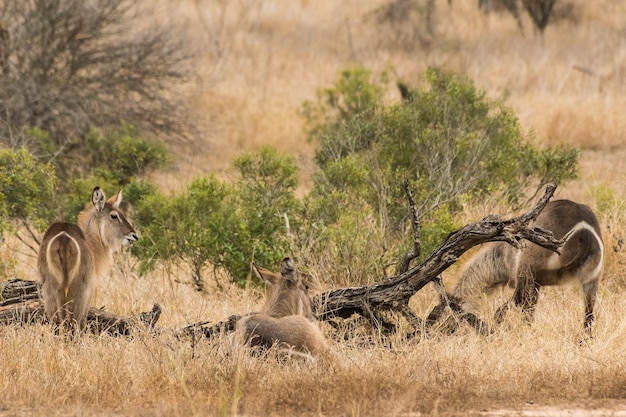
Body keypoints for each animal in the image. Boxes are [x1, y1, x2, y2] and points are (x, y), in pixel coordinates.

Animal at [38, 187, 138, 334]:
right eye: (114, 215)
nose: (134, 235)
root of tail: (63, 237)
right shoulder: (89, 290)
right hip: (78, 289)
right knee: (73, 323)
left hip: (51, 288)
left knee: (57, 323)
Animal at [446, 198, 604, 334]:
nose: (444, 331)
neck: (501, 255)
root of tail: (584, 234)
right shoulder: (536, 283)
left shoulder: (525, 278)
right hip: (591, 280)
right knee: (589, 315)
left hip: (527, 270)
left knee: (521, 303)